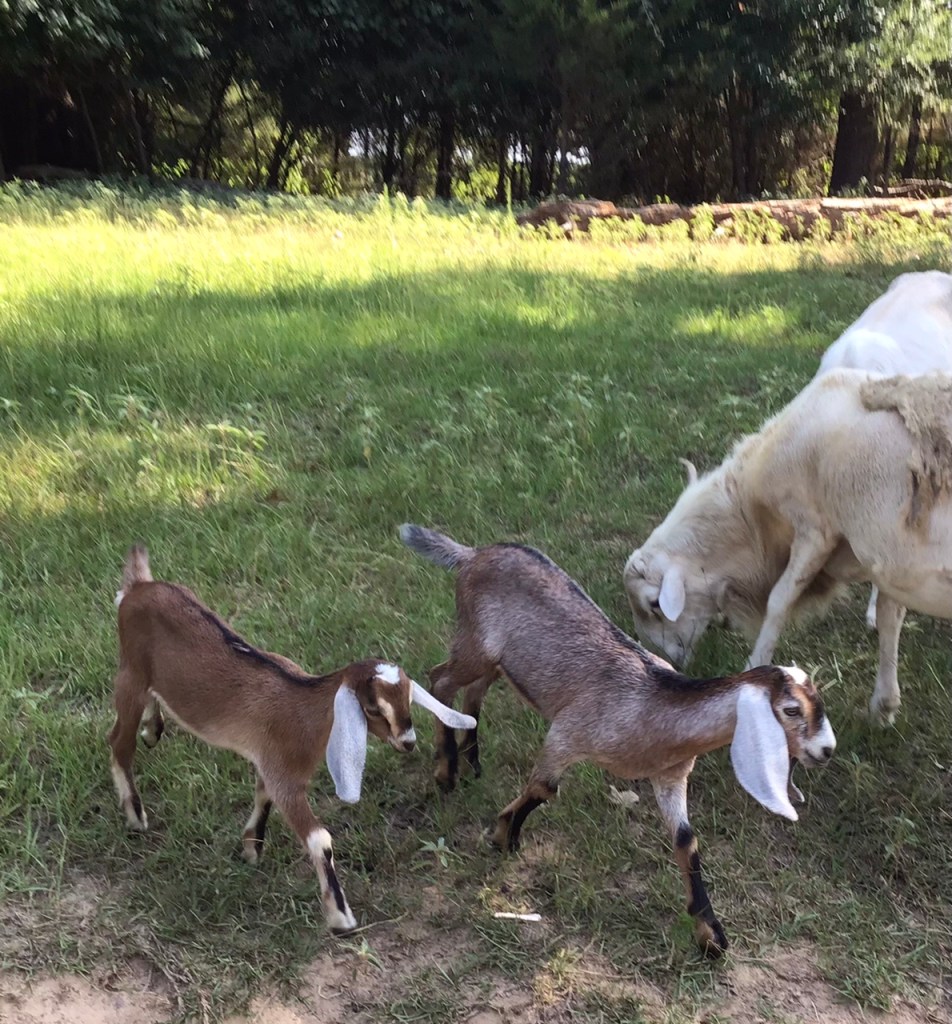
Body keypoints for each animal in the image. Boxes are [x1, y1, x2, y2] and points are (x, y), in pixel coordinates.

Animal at [109, 544, 475, 935]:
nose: (408, 741)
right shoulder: (284, 776)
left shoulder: (271, 766)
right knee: (118, 743)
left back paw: (152, 729)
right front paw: (341, 917)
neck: (303, 710)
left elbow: (262, 796)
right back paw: (135, 814)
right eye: (373, 708)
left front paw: (251, 848)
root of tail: (137, 587)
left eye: (407, 698)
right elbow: (320, 839)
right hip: (129, 674)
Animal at [400, 524, 835, 958]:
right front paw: (503, 836)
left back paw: (472, 762)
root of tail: (473, 554)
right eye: (790, 710)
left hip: (499, 661)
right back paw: (446, 772)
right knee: (440, 679)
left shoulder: (670, 777)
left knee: (474, 693)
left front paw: (710, 935)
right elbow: (543, 788)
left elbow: (686, 840)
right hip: (474, 642)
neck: (652, 706)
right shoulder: (567, 733)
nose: (827, 750)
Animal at [623, 370, 952, 724]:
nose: (666, 661)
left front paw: (754, 667)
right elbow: (891, 618)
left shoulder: (814, 529)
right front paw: (885, 704)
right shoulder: (888, 561)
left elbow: (778, 602)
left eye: (654, 605)